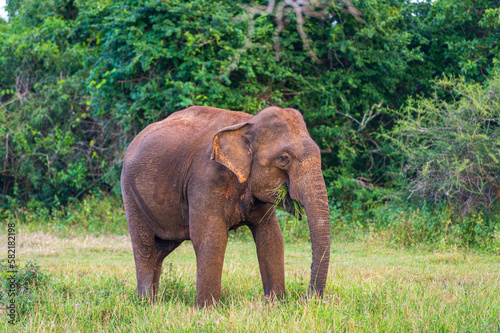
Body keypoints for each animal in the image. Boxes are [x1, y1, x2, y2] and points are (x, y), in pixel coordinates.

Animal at [120, 105, 332, 304]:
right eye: (283, 159)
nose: (307, 298)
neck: (248, 123)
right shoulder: (205, 178)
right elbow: (211, 237)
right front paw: (208, 309)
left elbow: (271, 236)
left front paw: (276, 303)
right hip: (129, 191)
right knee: (145, 246)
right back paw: (146, 301)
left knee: (162, 247)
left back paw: (155, 299)